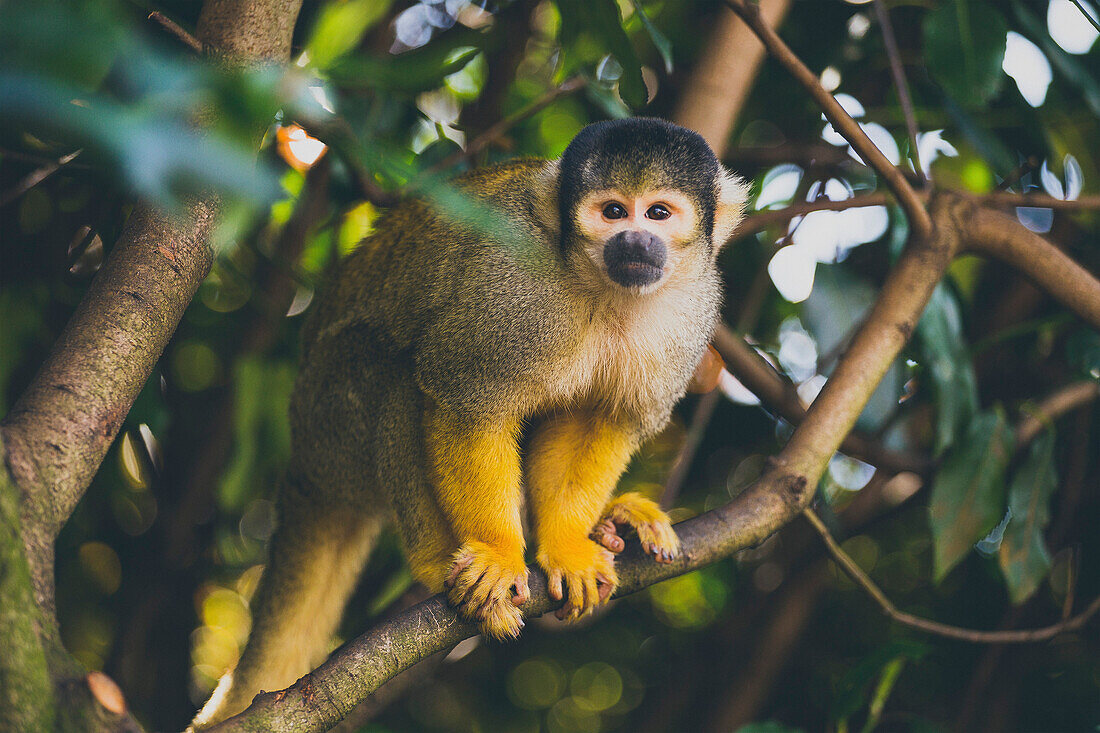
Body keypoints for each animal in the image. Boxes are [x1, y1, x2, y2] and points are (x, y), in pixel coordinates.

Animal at [195, 117, 748, 721]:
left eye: (658, 213)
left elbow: (603, 420)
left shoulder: (693, 309)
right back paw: (436, 560)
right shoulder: (511, 288)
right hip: (329, 424)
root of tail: (303, 463)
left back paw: (612, 521)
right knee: (389, 369)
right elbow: (467, 399)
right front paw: (500, 554)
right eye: (613, 212)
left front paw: (564, 545)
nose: (634, 241)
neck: (604, 289)